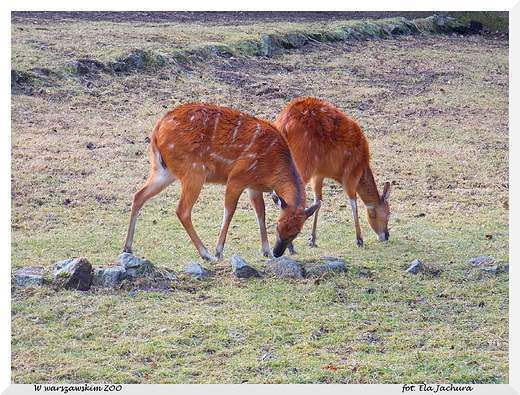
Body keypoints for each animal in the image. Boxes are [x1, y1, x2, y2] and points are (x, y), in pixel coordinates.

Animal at [125, 103, 320, 262]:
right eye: (278, 226)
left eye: (296, 232)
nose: (278, 252)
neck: (271, 167)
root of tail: (157, 128)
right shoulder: (237, 178)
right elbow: (229, 211)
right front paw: (219, 251)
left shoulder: (253, 186)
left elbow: (261, 213)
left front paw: (266, 252)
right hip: (194, 171)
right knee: (182, 210)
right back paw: (206, 254)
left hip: (163, 170)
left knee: (138, 196)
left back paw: (128, 248)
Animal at [276, 97, 390, 249]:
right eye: (388, 214)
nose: (386, 236)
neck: (362, 167)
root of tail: (284, 124)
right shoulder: (350, 174)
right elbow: (353, 203)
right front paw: (360, 239)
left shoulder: (319, 174)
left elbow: (318, 201)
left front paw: (312, 239)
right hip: (304, 161)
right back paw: (290, 245)